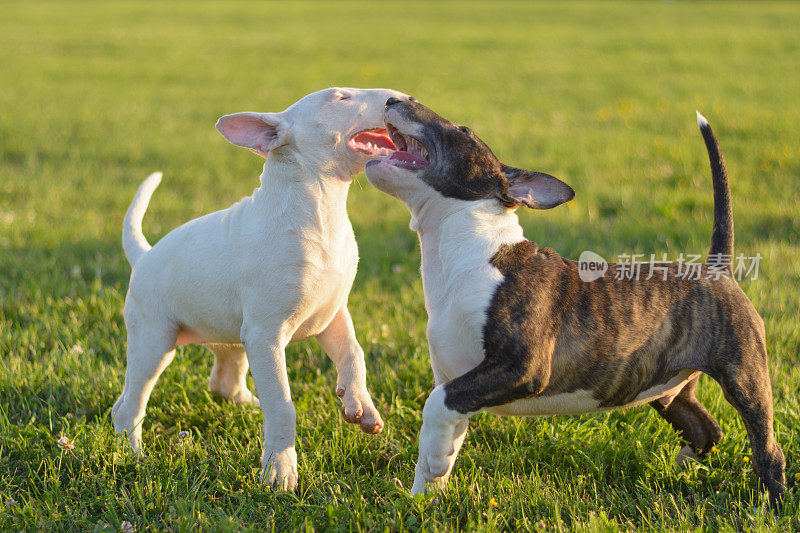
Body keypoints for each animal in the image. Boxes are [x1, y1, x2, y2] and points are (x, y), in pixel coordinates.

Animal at [111, 86, 410, 486]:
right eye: (340, 97)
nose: (402, 98)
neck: (320, 209)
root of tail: (144, 256)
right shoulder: (266, 336)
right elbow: (282, 404)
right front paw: (280, 472)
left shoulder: (332, 314)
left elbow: (353, 352)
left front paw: (360, 406)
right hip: (154, 339)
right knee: (135, 398)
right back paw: (132, 452)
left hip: (230, 336)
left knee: (219, 381)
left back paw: (246, 405)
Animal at [366, 97, 784, 510]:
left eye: (463, 130)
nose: (393, 98)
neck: (471, 254)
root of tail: (717, 269)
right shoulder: (458, 377)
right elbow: (447, 429)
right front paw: (424, 496)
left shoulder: (522, 366)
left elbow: (436, 403)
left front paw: (431, 470)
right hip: (669, 385)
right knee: (707, 429)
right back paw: (684, 467)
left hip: (743, 372)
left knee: (766, 446)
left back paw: (771, 505)